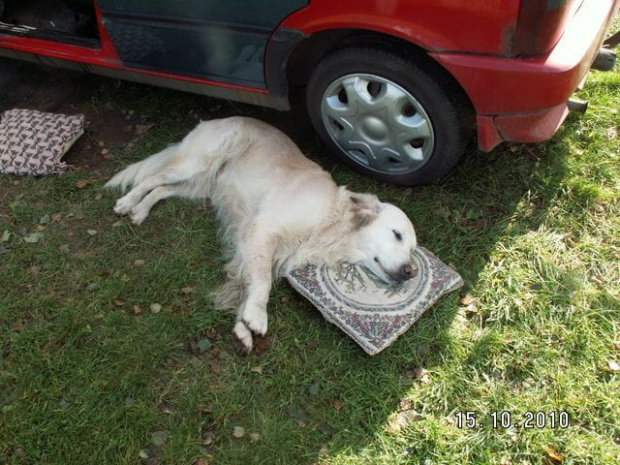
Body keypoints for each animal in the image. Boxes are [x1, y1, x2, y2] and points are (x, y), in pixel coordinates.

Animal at [106, 117, 418, 352]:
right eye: (397, 235)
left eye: (413, 250)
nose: (410, 272)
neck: (331, 221)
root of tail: (218, 118)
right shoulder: (261, 232)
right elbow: (262, 282)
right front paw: (256, 316)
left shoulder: (253, 248)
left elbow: (245, 285)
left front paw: (242, 329)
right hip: (195, 164)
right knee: (153, 178)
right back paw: (127, 202)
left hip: (201, 187)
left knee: (160, 189)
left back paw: (140, 211)